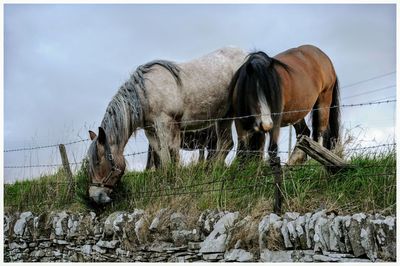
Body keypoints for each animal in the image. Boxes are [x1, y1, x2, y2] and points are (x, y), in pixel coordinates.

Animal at [86, 46, 247, 204]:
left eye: (98, 161)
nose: (95, 196)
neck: (145, 94)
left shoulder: (168, 126)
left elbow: (172, 157)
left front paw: (174, 185)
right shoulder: (152, 132)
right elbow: (162, 158)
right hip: (224, 116)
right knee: (226, 143)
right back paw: (214, 174)